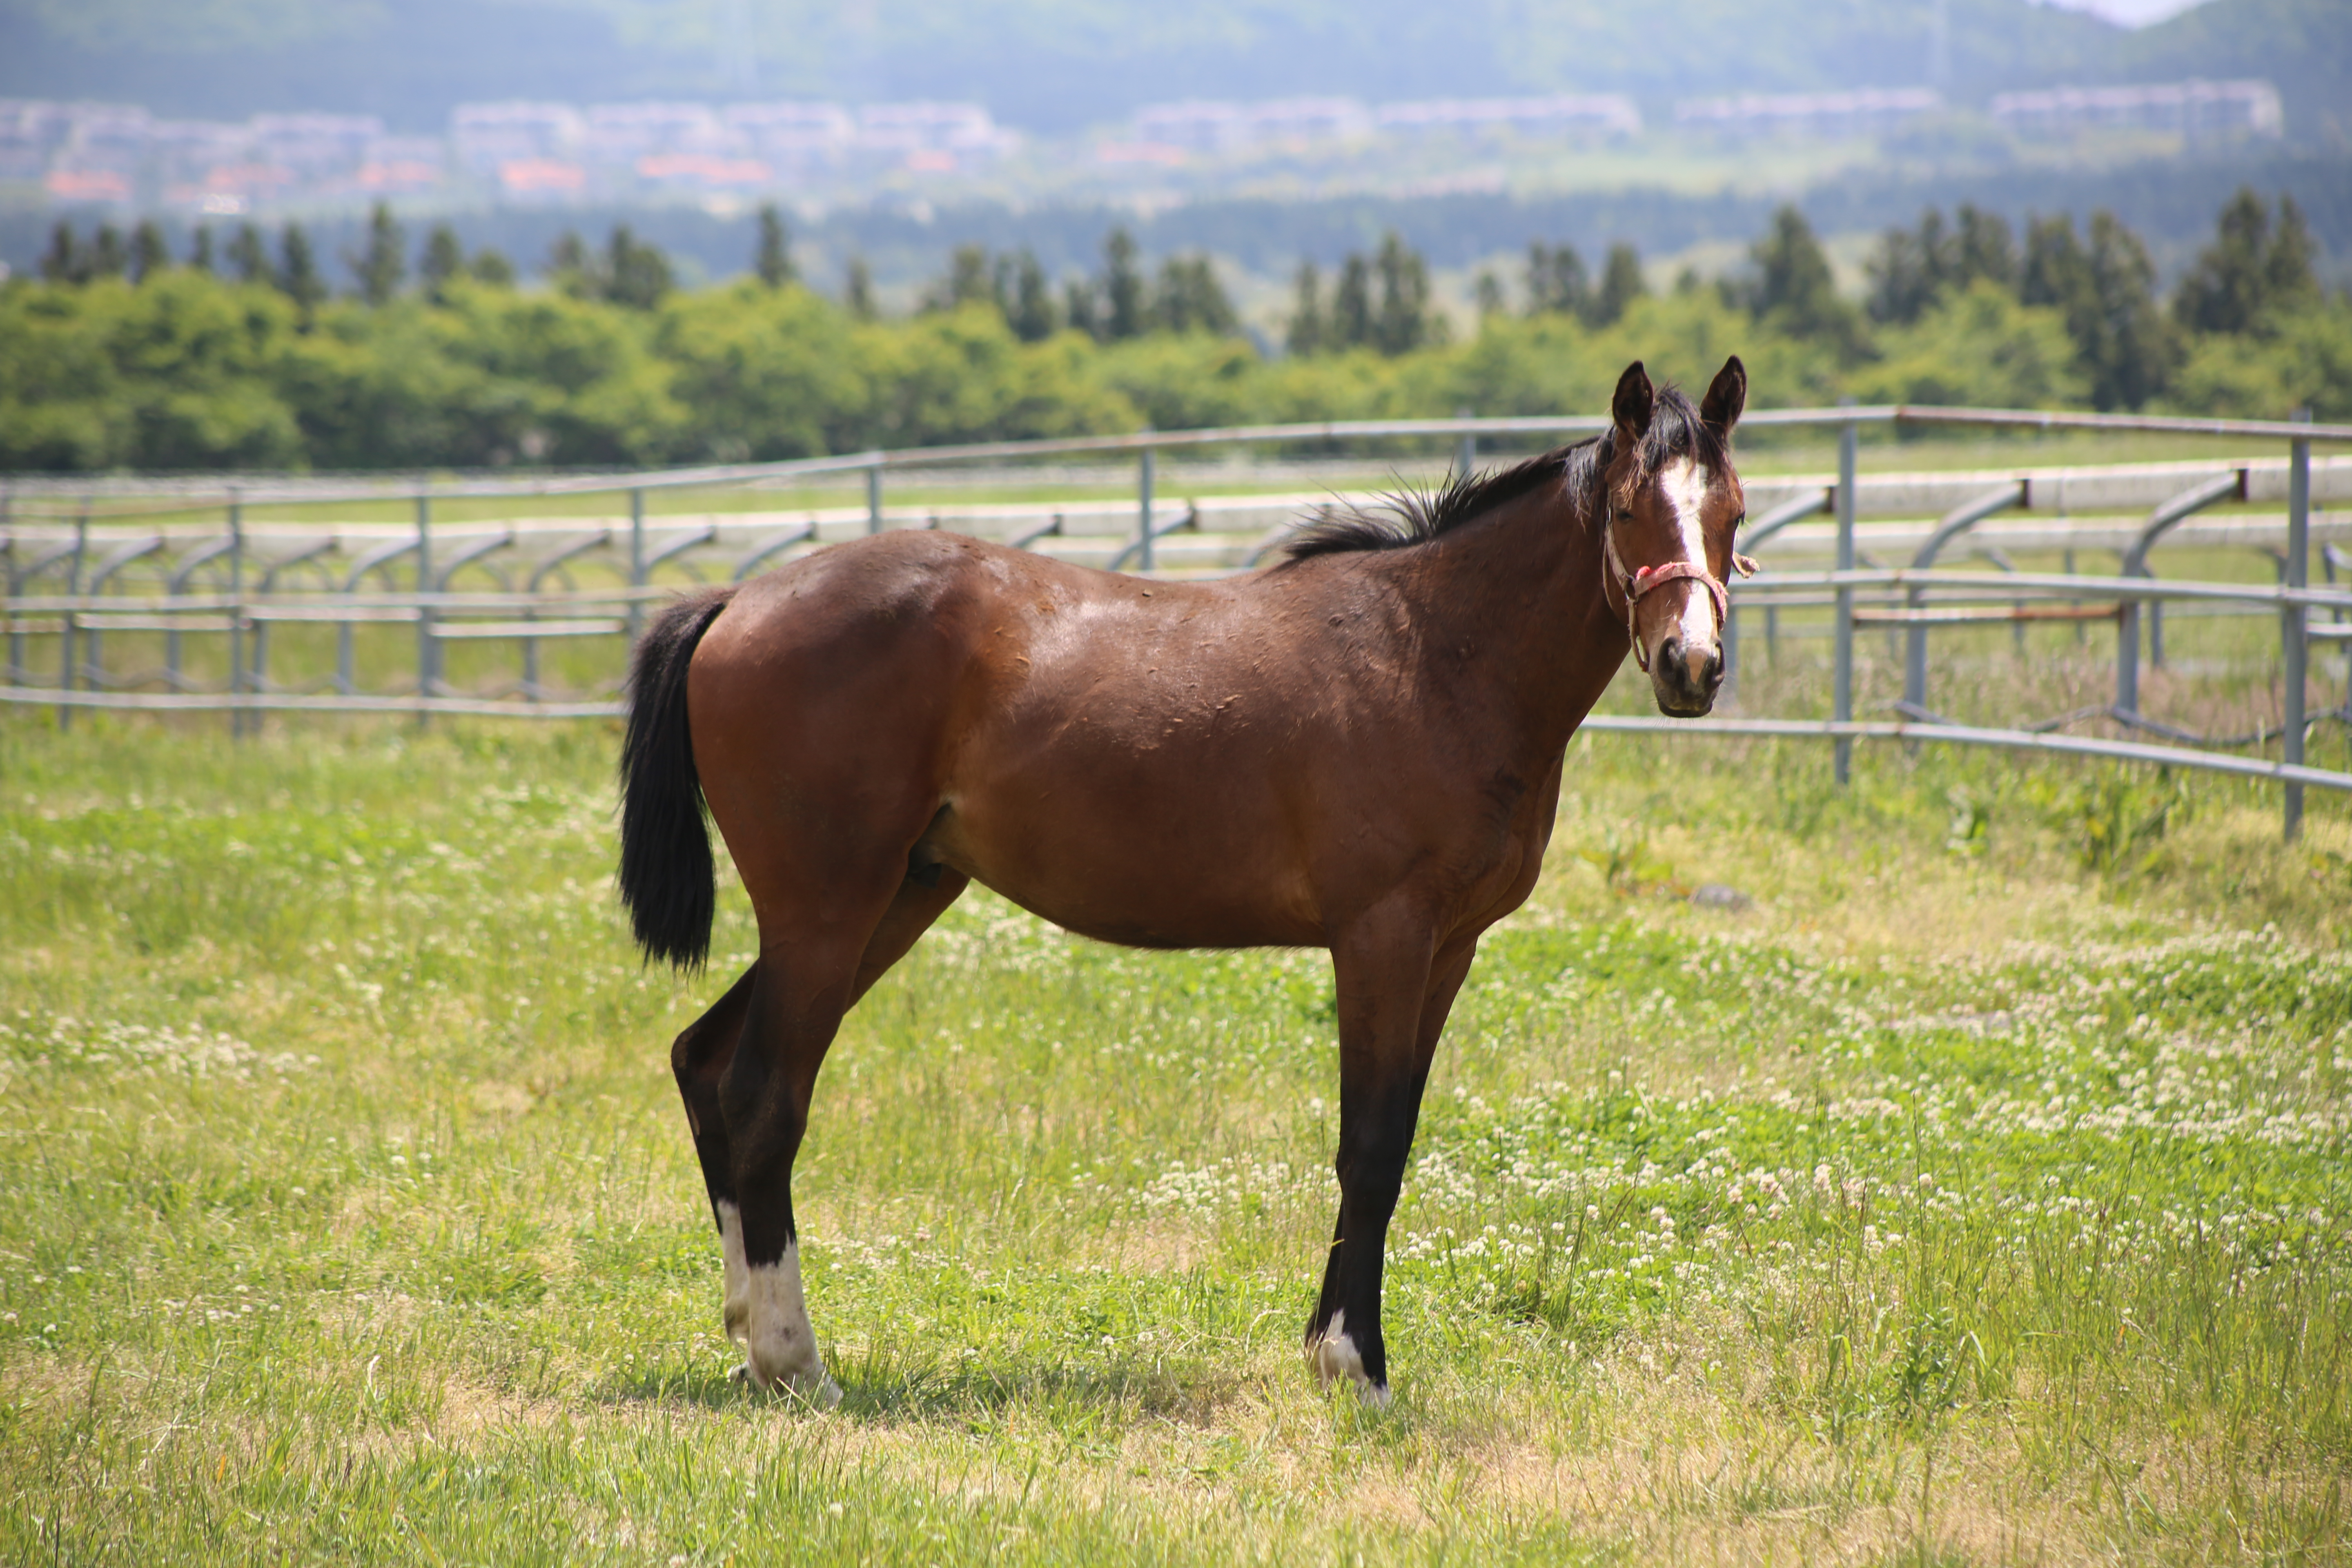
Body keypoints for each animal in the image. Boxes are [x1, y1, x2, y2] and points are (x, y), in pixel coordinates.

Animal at [616, 359, 1759, 1410]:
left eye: (1732, 511)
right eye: (1627, 508)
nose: (1689, 666)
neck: (1431, 652)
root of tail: (736, 599)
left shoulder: (1449, 949)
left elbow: (1389, 1146)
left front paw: (1328, 1348)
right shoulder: (1381, 938)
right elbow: (1368, 1146)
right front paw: (1358, 1367)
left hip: (891, 901)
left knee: (703, 1063)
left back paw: (745, 1336)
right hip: (827, 911)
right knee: (763, 1095)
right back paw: (794, 1359)